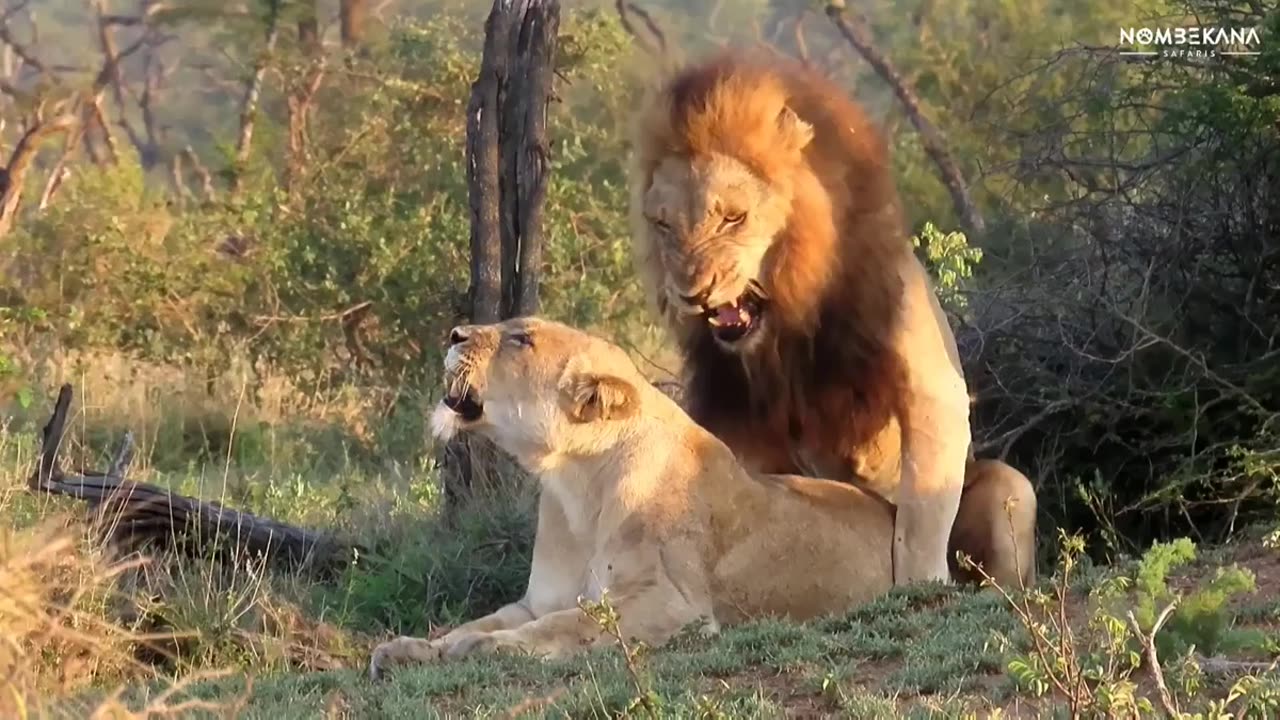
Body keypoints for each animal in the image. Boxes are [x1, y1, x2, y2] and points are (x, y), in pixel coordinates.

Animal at [371, 316, 906, 676]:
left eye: (521, 338)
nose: (454, 334)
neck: (575, 487)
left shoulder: (674, 603)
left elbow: (568, 623)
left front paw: (487, 649)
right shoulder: (535, 600)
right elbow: (479, 622)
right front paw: (413, 649)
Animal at [629, 51, 1039, 589]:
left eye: (733, 217)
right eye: (662, 225)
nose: (691, 293)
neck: (788, 320)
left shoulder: (929, 384)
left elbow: (921, 516)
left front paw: (919, 585)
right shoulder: (737, 414)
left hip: (1011, 488)